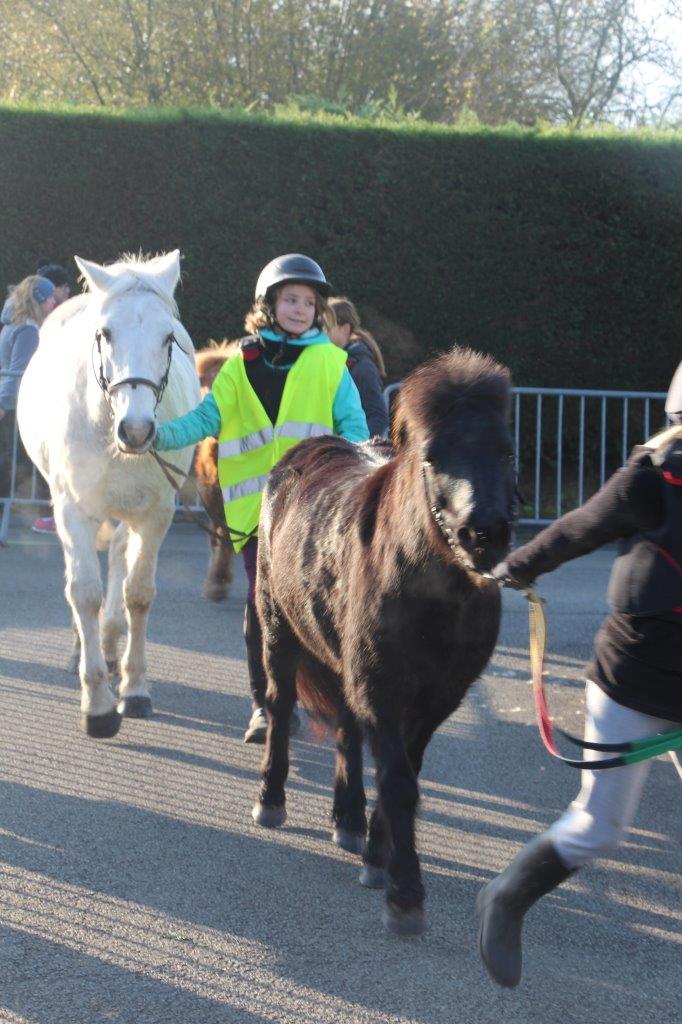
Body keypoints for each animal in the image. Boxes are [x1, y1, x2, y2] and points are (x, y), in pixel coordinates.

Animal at [16, 252, 199, 741]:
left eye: (168, 337)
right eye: (105, 334)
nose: (137, 431)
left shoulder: (156, 514)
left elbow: (138, 593)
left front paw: (134, 688)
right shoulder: (73, 511)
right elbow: (83, 593)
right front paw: (97, 704)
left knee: (118, 554)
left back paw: (112, 642)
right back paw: (85, 647)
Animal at [251, 346, 512, 937]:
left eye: (508, 451)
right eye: (433, 456)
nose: (485, 534)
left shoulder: (436, 697)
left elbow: (405, 775)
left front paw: (377, 853)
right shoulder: (383, 687)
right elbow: (397, 781)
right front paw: (404, 893)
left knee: (347, 730)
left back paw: (347, 819)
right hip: (278, 630)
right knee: (280, 705)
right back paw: (271, 798)